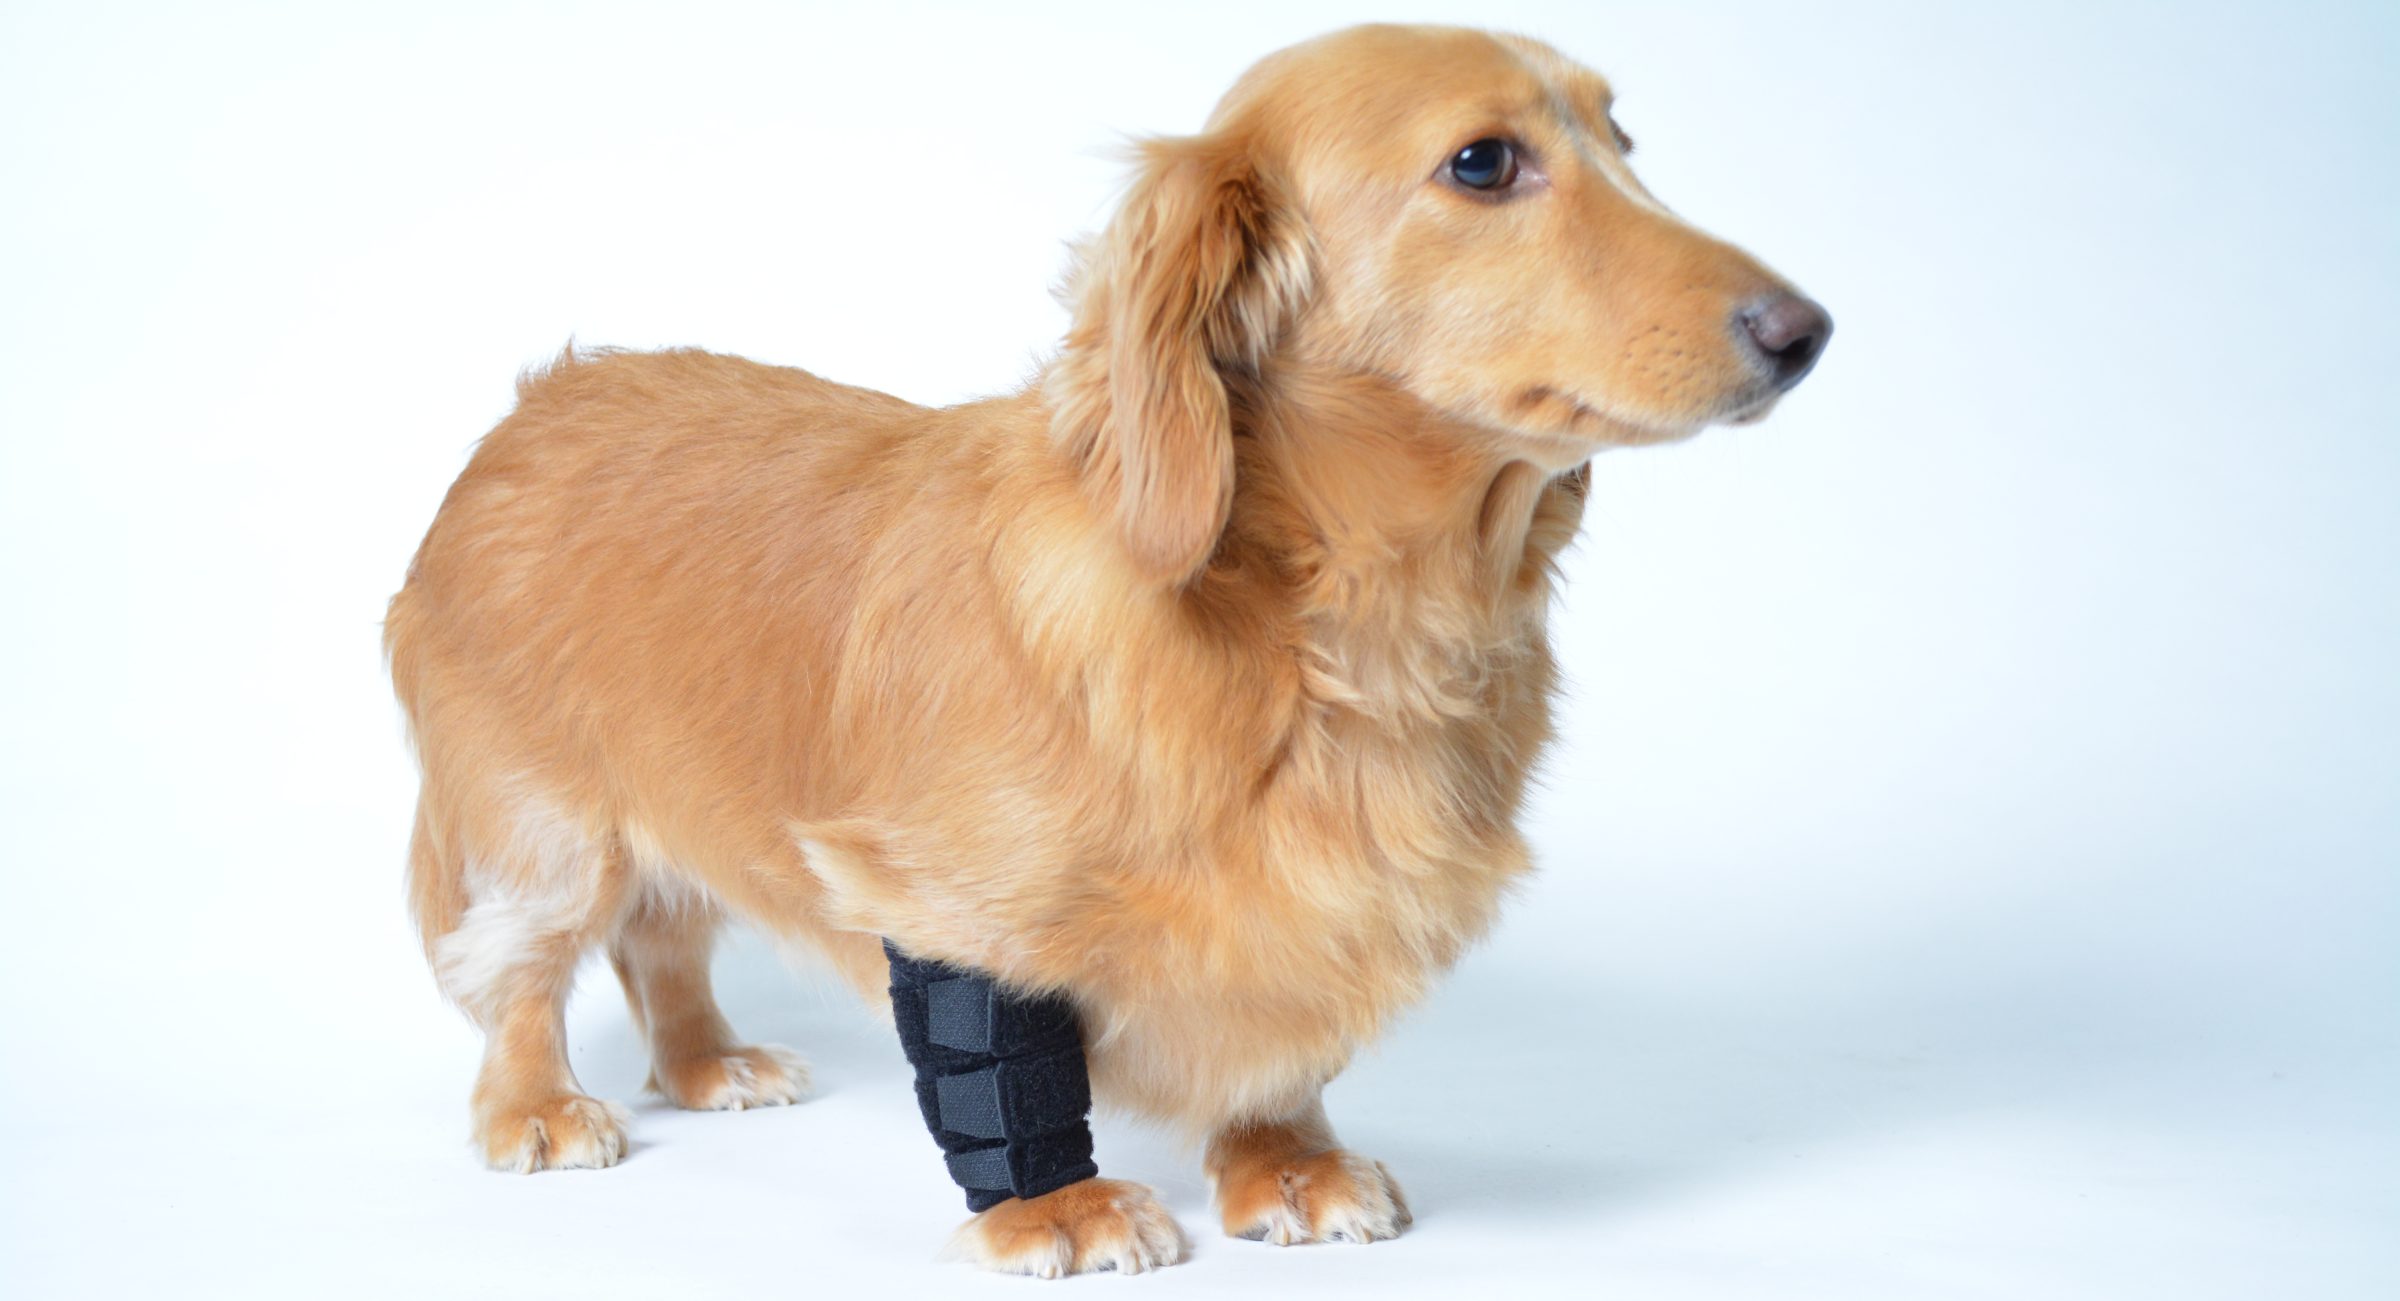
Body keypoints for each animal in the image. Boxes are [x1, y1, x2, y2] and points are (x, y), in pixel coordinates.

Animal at [385, 22, 1829, 1277]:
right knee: (528, 969)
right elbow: (1006, 1071)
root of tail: (531, 407)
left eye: (1622, 135)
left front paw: (1285, 1159)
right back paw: (538, 1105)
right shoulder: (960, 904)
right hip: (545, 826)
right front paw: (1058, 1206)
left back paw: (703, 1063)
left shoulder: (1300, 911)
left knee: (663, 940)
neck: (1325, 619)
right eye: (1483, 163)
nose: (1806, 332)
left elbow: (1279, 1031)